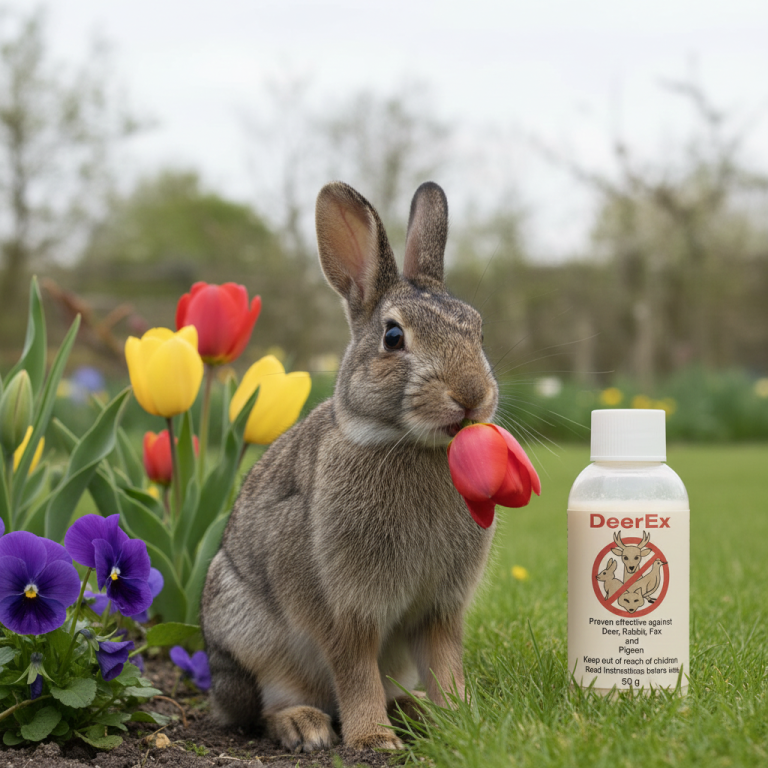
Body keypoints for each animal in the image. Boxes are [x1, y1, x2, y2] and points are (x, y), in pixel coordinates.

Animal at [200, 181, 500, 753]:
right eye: (393, 337)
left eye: (477, 330)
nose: (472, 394)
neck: (410, 445)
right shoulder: (345, 608)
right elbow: (355, 670)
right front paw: (373, 741)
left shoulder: (439, 610)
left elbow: (445, 663)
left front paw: (461, 721)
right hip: (254, 640)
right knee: (269, 704)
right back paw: (306, 726)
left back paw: (414, 711)